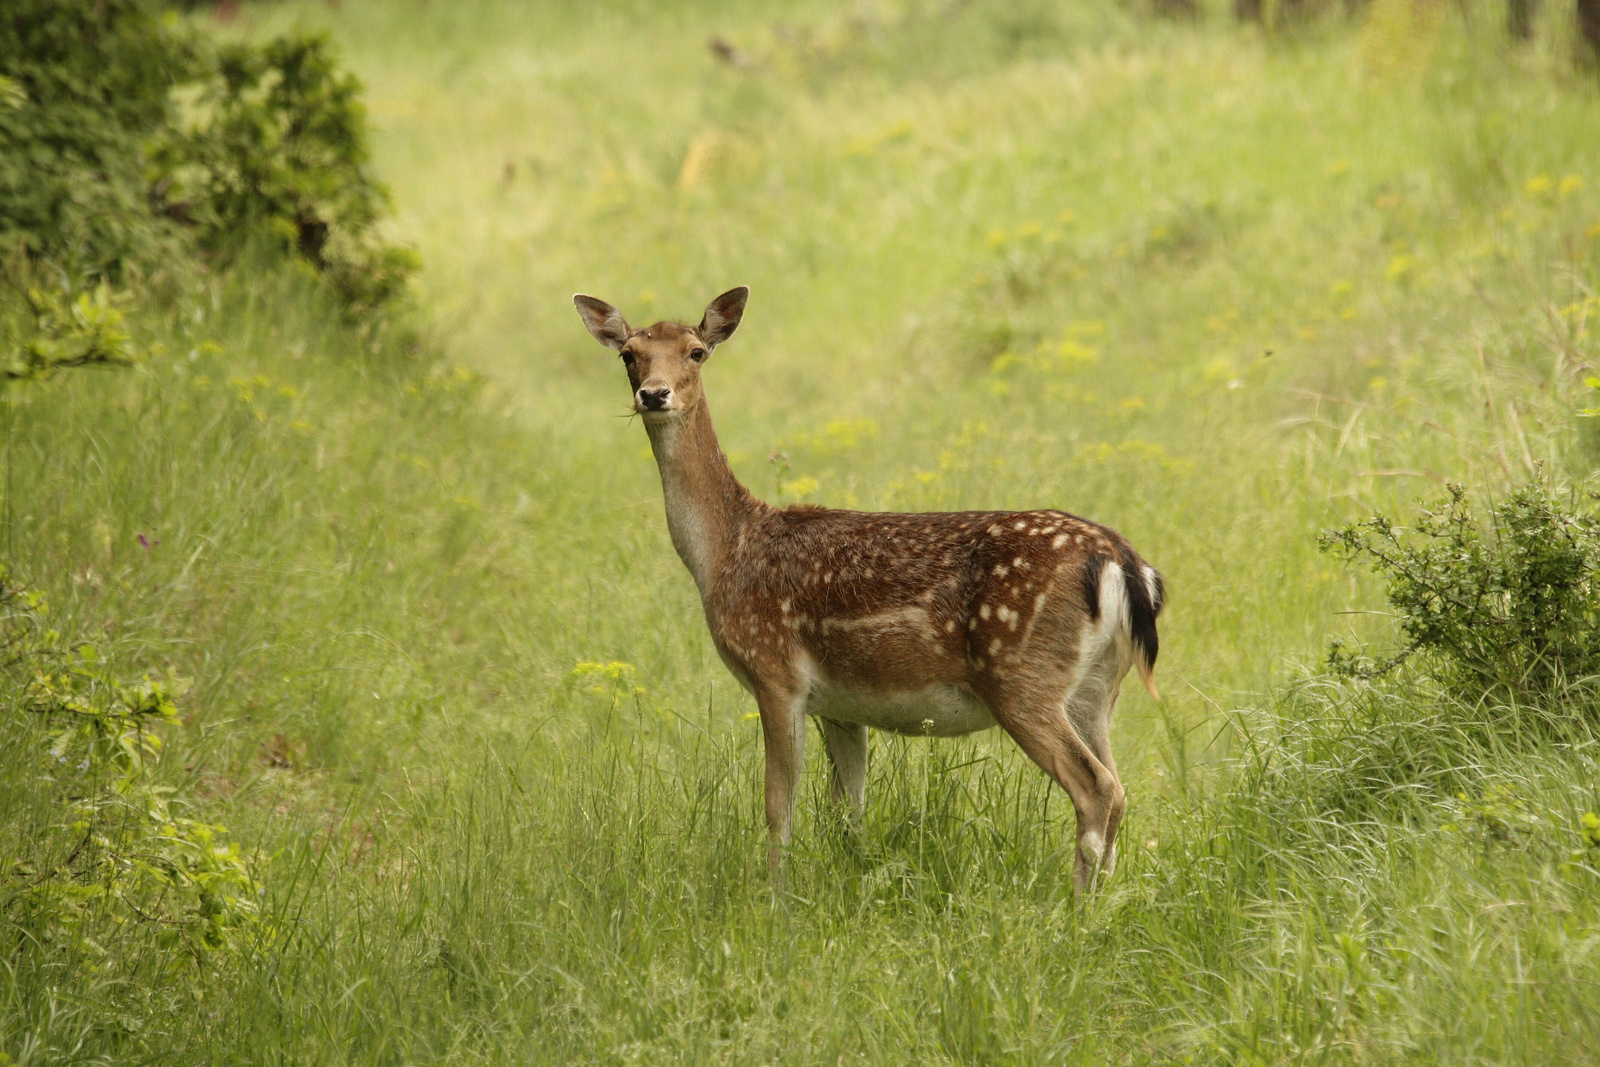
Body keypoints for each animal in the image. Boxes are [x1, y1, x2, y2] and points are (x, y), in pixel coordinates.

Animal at [576, 286, 1164, 895]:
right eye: (629, 354)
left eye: (696, 352)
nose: (654, 394)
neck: (726, 552)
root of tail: (1122, 562)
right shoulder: (841, 706)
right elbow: (846, 811)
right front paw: (850, 881)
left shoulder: (775, 670)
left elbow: (778, 805)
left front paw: (773, 898)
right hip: (1098, 687)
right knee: (1119, 790)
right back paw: (1104, 900)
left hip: (1022, 675)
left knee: (1096, 789)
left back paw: (1071, 907)